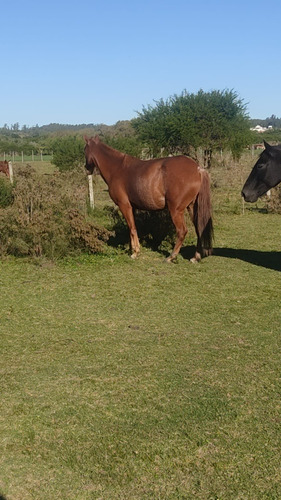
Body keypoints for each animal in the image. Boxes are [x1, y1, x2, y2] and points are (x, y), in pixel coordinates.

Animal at [83, 137, 212, 262]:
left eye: (85, 149)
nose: (86, 169)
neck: (117, 168)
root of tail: (198, 169)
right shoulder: (132, 207)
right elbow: (132, 228)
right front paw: (132, 249)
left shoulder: (124, 205)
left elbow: (132, 228)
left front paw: (135, 252)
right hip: (192, 208)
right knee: (199, 229)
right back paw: (196, 257)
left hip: (176, 210)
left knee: (182, 231)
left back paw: (171, 256)